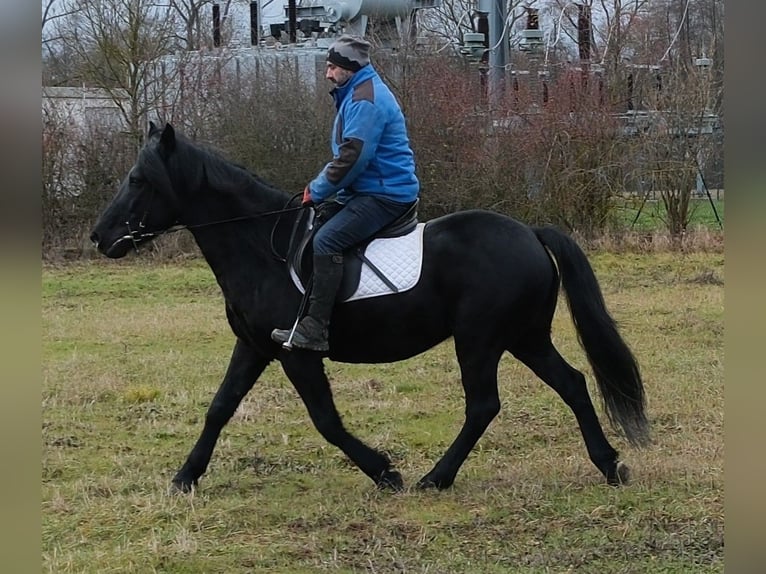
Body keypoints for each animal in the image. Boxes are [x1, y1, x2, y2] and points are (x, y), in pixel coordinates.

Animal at [90, 122, 650, 493]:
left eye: (138, 180)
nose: (99, 236)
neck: (258, 245)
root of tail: (530, 233)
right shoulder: (253, 347)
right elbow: (220, 407)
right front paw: (185, 477)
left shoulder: (296, 354)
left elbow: (326, 420)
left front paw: (385, 471)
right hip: (524, 338)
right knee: (572, 384)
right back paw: (610, 465)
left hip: (481, 340)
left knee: (483, 405)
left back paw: (434, 478)